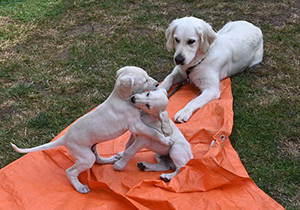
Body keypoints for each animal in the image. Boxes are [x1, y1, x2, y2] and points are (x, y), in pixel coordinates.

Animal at [10, 66, 173, 194]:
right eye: (144, 80)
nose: (157, 83)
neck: (122, 98)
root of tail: (65, 138)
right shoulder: (135, 125)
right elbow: (153, 132)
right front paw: (166, 139)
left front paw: (166, 127)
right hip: (85, 157)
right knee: (71, 171)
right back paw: (79, 187)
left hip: (92, 148)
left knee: (98, 160)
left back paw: (110, 159)